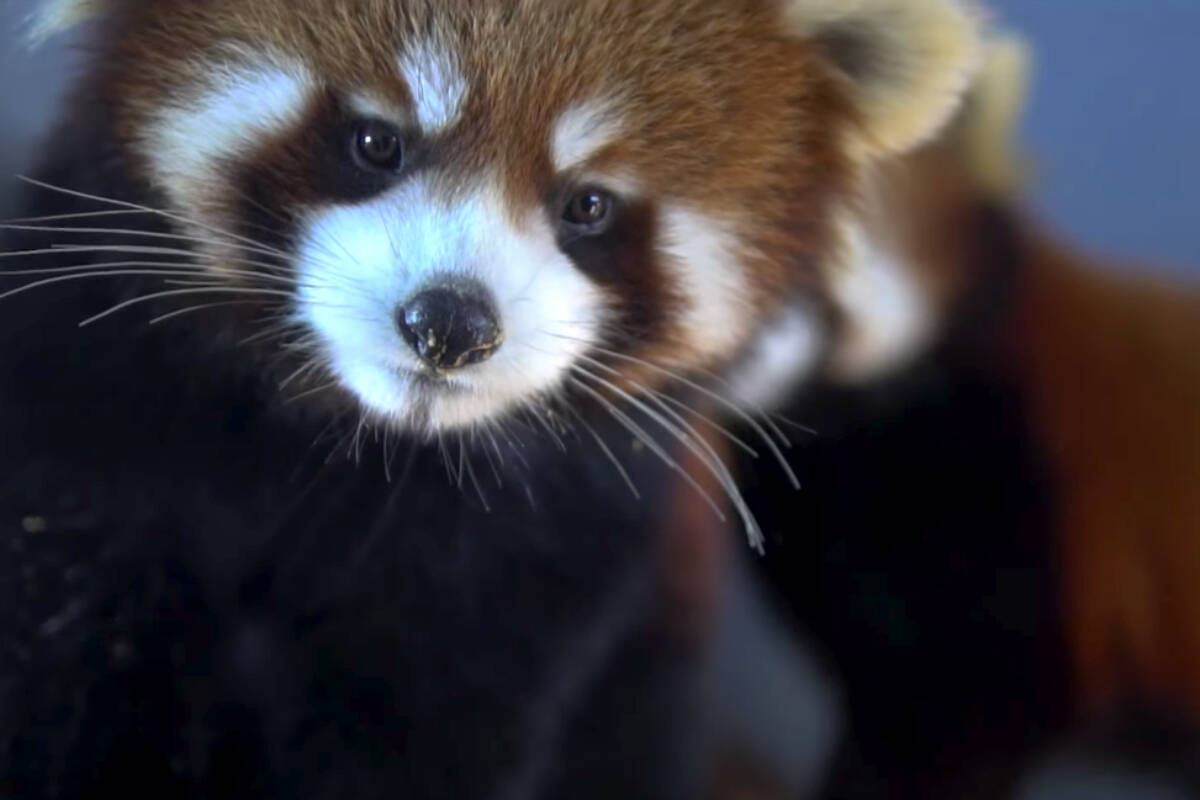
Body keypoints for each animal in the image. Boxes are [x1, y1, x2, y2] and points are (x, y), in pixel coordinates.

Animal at [0, 1, 984, 800]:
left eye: (588, 206)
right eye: (376, 143)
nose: (449, 324)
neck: (345, 456)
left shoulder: (524, 581)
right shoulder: (88, 448)